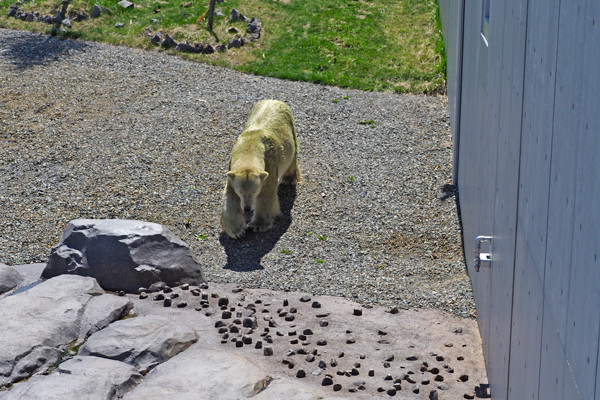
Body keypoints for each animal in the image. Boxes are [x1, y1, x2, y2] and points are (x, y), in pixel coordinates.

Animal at [220, 99, 300, 238]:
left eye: (254, 191)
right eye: (240, 191)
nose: (247, 208)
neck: (250, 145)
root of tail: (274, 100)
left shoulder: (270, 165)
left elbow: (266, 194)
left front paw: (258, 225)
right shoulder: (231, 170)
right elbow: (230, 195)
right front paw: (237, 230)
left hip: (291, 128)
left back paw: (289, 178)